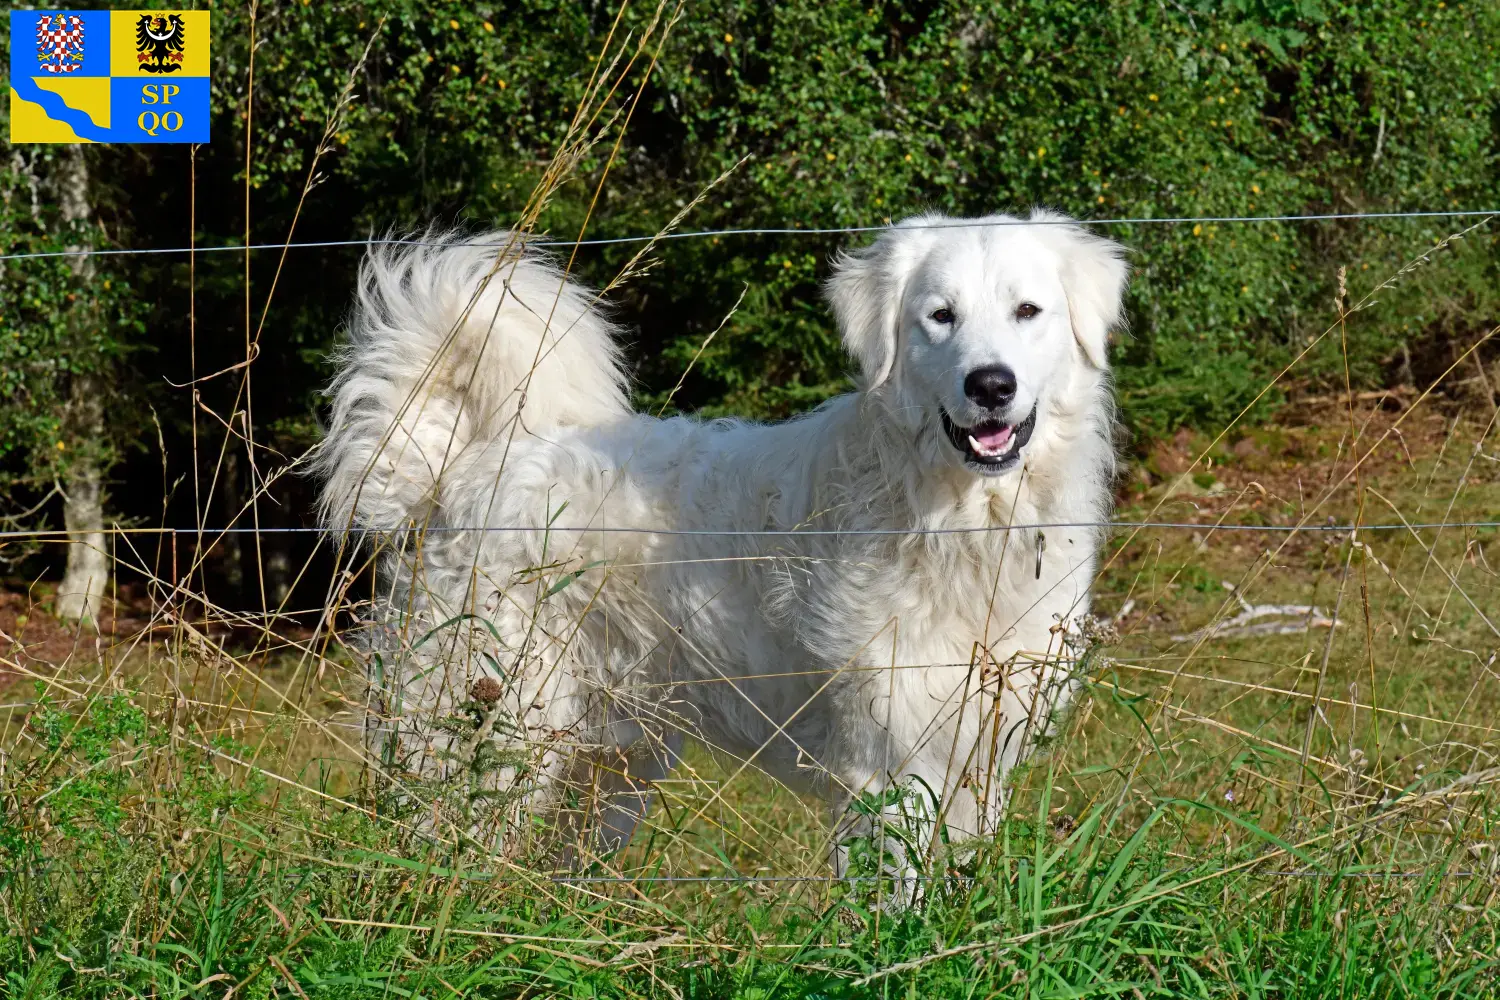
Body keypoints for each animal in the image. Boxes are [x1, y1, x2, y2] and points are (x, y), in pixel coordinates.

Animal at [322, 209, 1128, 869]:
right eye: (940, 317)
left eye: (1027, 311)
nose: (990, 384)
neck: (963, 519)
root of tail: (461, 467)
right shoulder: (889, 770)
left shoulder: (978, 758)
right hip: (483, 739)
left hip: (604, 770)